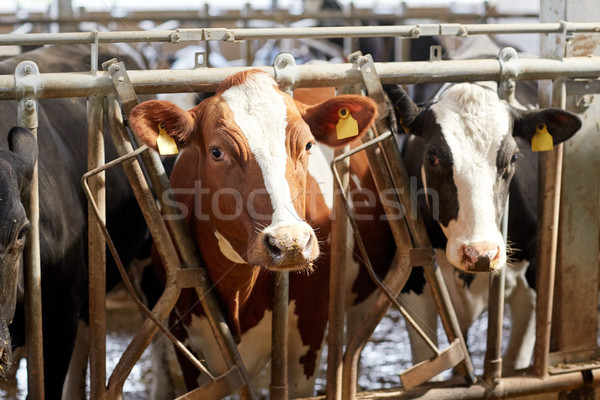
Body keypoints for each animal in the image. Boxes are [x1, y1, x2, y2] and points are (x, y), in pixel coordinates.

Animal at [128, 69, 394, 396]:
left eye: (308, 146)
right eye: (217, 151)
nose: (290, 242)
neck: (239, 291)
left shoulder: (309, 330)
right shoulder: (188, 345)